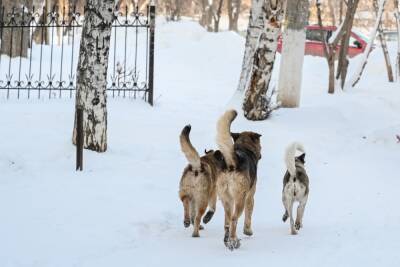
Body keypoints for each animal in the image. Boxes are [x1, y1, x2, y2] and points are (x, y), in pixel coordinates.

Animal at [216, 109, 262, 251]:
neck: (244, 147)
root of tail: (231, 163)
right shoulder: (250, 197)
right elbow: (249, 215)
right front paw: (248, 231)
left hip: (226, 199)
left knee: (227, 221)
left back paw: (228, 240)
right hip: (239, 199)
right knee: (234, 219)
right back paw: (233, 240)